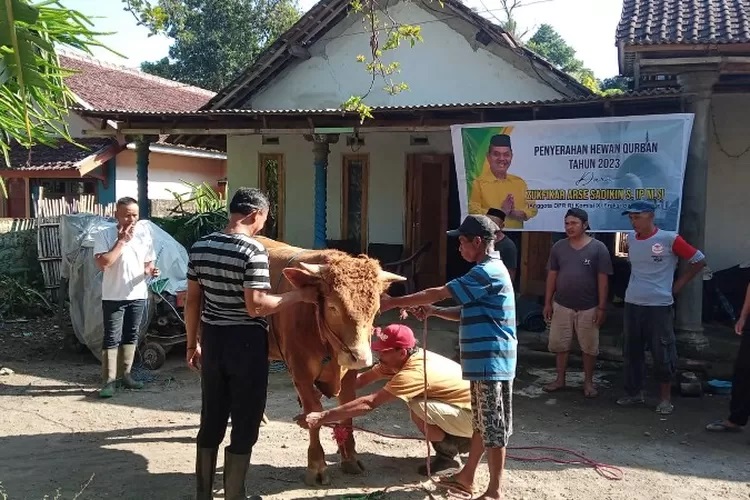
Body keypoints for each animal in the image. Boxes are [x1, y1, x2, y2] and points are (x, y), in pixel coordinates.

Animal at [260, 236, 412, 486]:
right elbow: (313, 412)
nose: (361, 357)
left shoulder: (349, 373)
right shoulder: (301, 374)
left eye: (376, 309)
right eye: (332, 307)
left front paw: (350, 458)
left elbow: (347, 407)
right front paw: (317, 466)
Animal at [324, 318, 624, 498]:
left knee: (423, 408)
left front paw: (318, 416)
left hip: (466, 416)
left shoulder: (407, 377)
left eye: (384, 346)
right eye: (381, 356)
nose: (372, 357)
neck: (412, 356)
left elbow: (368, 401)